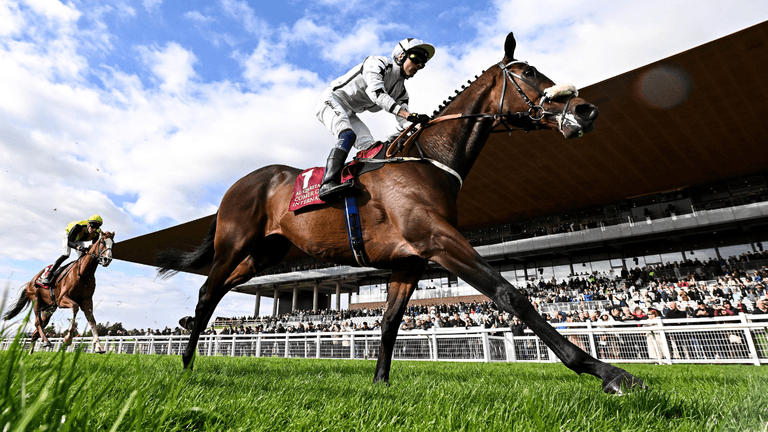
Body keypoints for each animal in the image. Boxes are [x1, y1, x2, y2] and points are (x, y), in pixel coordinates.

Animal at [156, 33, 646, 394]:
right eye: (528, 72)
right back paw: (186, 363)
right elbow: (510, 294)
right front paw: (609, 373)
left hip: (264, 254)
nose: (586, 109)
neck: (429, 160)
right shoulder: (439, 240)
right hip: (234, 242)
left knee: (217, 291)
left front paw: (380, 383)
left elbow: (391, 321)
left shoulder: (409, 262)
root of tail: (237, 184)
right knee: (207, 292)